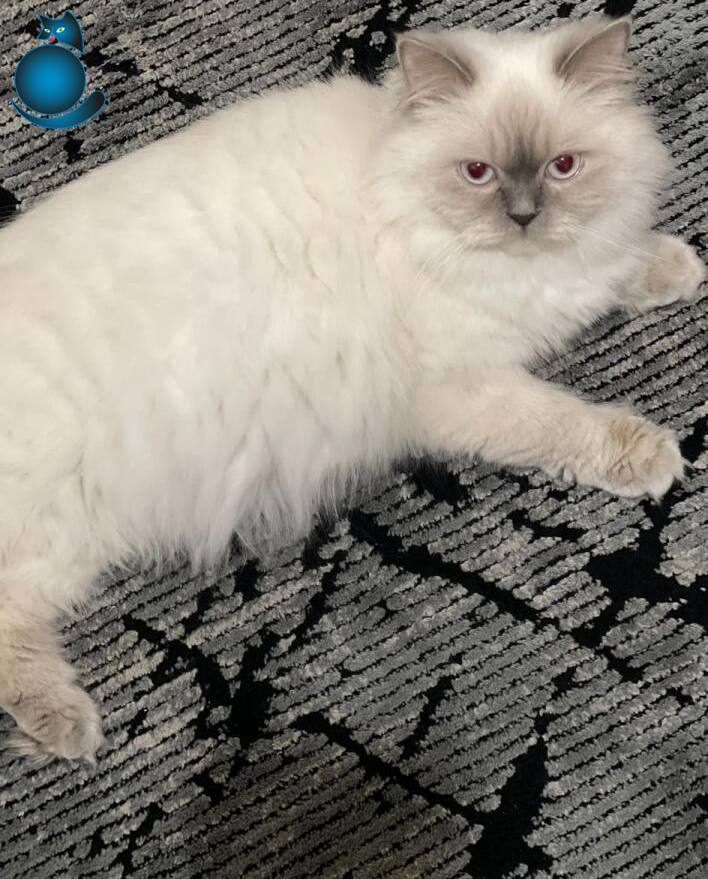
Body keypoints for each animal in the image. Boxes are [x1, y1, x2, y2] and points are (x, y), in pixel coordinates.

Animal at [0, 15, 704, 762]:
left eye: (562, 167)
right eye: (477, 173)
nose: (522, 216)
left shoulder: (570, 274)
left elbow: (617, 263)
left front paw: (676, 268)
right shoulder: (462, 387)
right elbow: (564, 422)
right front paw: (652, 455)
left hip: (71, 540)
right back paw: (69, 726)